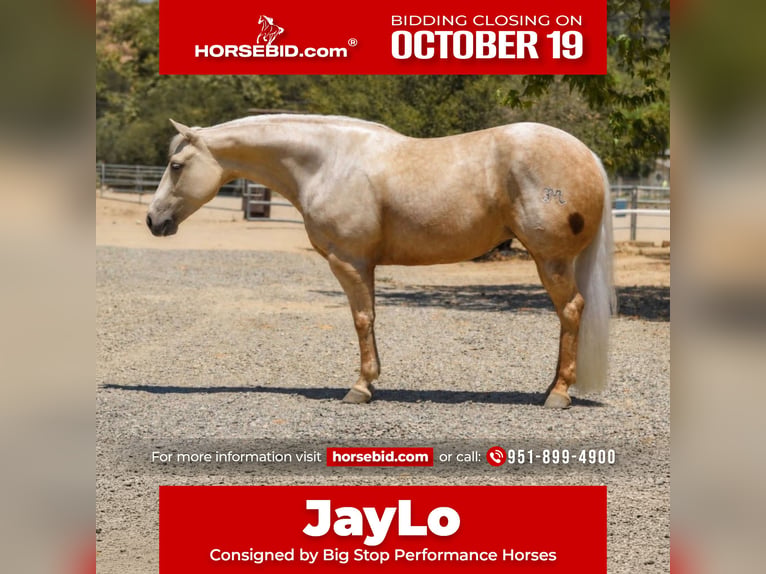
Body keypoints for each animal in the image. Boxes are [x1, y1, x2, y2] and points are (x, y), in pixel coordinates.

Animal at [147, 115, 615, 408]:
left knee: (571, 310)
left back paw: (559, 394)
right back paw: (553, 385)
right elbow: (369, 318)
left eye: (176, 165)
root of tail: (588, 156)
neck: (328, 162)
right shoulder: (363, 265)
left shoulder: (349, 262)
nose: (153, 220)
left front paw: (361, 386)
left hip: (551, 260)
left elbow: (362, 319)